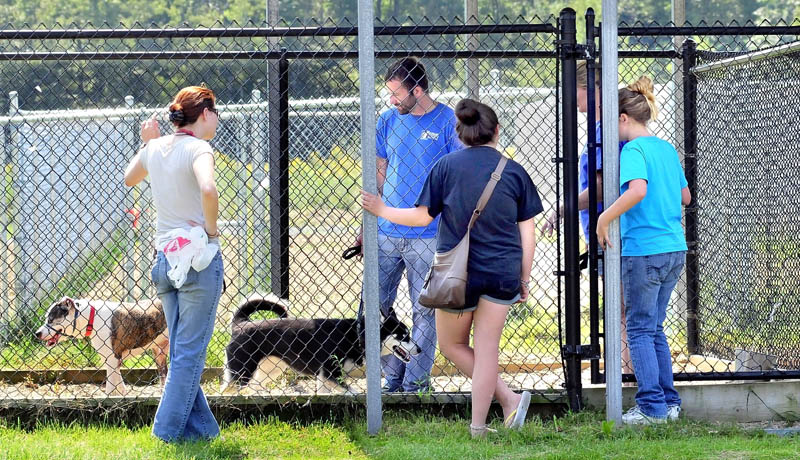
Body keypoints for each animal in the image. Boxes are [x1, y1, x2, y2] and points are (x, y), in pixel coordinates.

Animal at [34, 296, 169, 398]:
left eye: (51, 319)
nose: (37, 333)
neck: (91, 318)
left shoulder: (112, 358)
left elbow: (110, 387)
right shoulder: (111, 361)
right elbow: (120, 386)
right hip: (159, 354)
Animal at [219, 292, 418, 394]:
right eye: (403, 335)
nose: (420, 349)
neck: (358, 334)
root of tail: (240, 324)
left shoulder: (323, 379)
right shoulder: (331, 374)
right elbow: (351, 391)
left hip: (270, 370)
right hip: (242, 373)